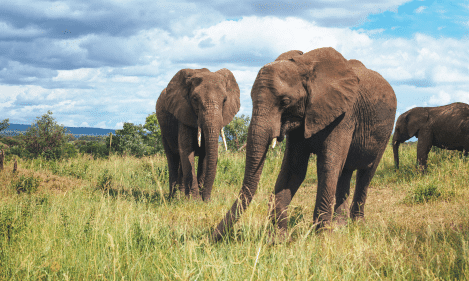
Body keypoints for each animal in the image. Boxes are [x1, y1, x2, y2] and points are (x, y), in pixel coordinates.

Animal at [155, 67, 239, 200]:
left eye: (225, 100)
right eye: (194, 99)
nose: (207, 199)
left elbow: (205, 154)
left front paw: (199, 198)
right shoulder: (183, 112)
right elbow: (187, 151)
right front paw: (195, 200)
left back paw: (181, 195)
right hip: (164, 128)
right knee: (173, 158)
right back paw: (173, 197)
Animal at [211, 47, 394, 240]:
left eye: (285, 101)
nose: (212, 237)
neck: (304, 67)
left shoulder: (345, 116)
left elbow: (327, 166)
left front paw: (321, 237)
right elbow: (294, 168)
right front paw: (278, 239)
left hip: (385, 132)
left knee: (366, 174)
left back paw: (357, 224)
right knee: (345, 172)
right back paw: (340, 226)